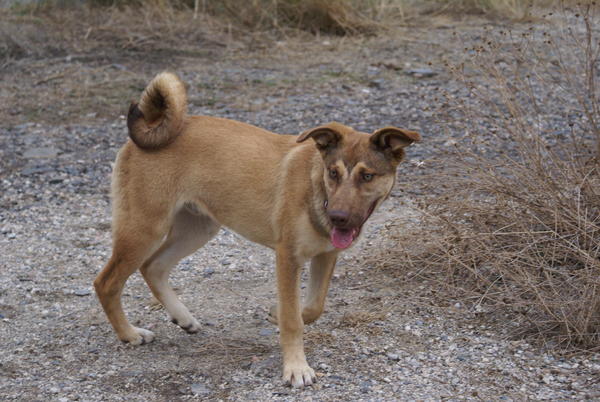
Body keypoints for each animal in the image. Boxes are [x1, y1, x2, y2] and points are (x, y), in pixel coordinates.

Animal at [95, 71, 422, 386]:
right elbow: (294, 320)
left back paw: (183, 317)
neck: (316, 188)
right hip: (144, 229)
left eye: (367, 176)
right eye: (333, 173)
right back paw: (130, 334)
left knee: (154, 266)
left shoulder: (326, 255)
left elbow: (313, 308)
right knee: (107, 282)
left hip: (198, 228)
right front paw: (296, 368)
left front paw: (276, 314)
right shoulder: (287, 257)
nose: (337, 217)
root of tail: (151, 130)